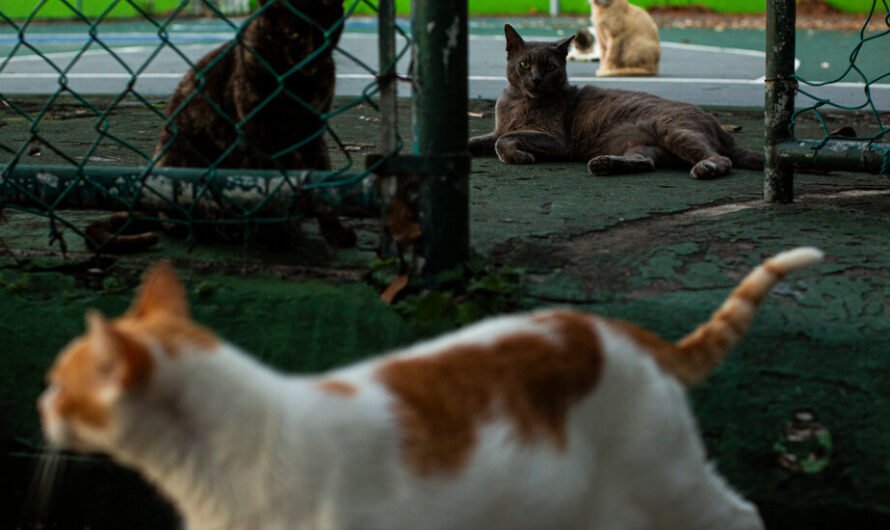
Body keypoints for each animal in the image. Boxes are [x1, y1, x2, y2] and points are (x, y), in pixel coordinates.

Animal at [468, 24, 760, 179]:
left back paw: (706, 167)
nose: (537, 79)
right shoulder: (498, 128)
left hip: (672, 128)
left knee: (722, 159)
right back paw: (603, 164)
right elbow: (483, 139)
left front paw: (519, 156)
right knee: (647, 162)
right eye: (525, 64)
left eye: (550, 67)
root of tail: (718, 124)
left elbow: (505, 139)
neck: (518, 102)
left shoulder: (557, 140)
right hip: (641, 145)